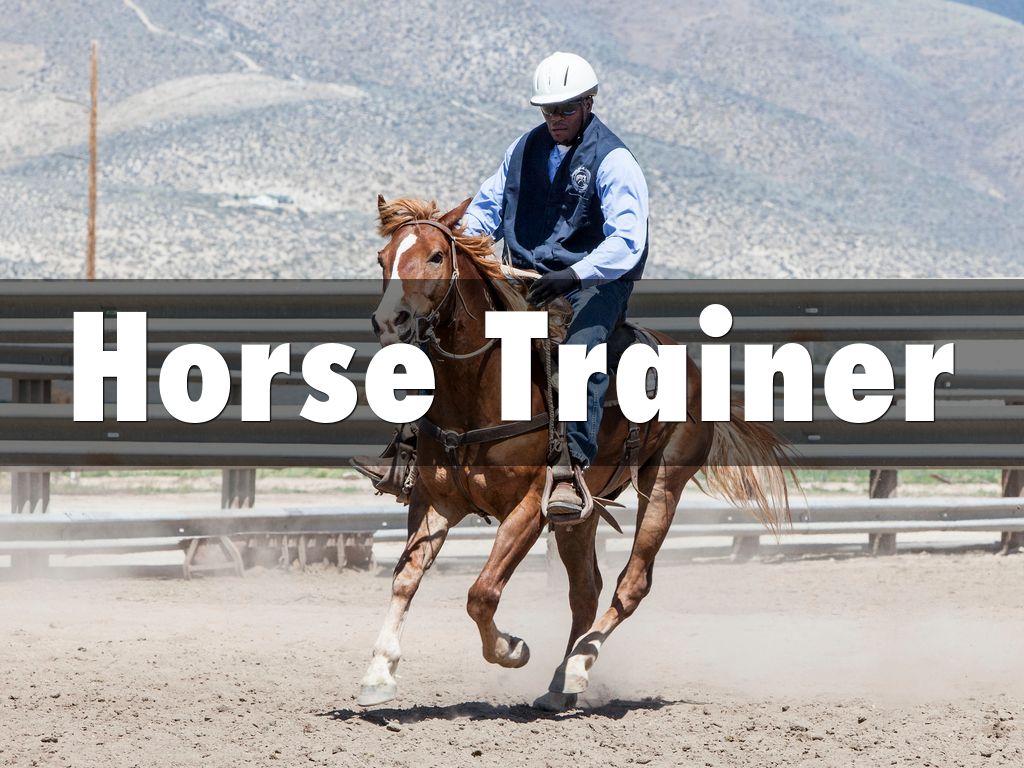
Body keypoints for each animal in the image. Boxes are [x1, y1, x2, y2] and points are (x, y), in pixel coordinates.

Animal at [358, 195, 791, 711]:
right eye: (383, 258)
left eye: (436, 256)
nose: (391, 321)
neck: (479, 392)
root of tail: (694, 369)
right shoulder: (434, 500)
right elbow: (405, 577)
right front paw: (379, 673)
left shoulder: (530, 507)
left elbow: (482, 593)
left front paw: (513, 649)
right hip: (580, 513)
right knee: (587, 590)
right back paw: (559, 684)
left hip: (663, 486)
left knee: (631, 584)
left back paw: (578, 669)